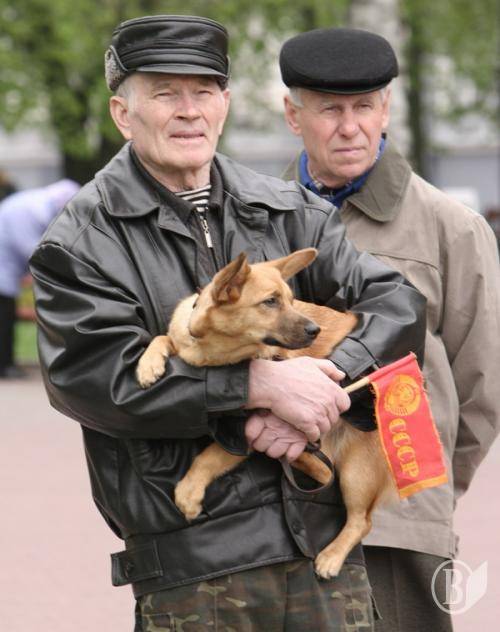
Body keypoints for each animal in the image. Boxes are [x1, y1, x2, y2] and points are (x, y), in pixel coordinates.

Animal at [136, 248, 396, 578]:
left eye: (292, 299)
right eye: (270, 301)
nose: (316, 330)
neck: (216, 356)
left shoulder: (247, 433)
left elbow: (209, 456)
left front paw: (189, 492)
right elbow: (163, 339)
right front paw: (148, 365)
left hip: (357, 472)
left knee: (360, 518)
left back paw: (331, 557)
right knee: (325, 471)